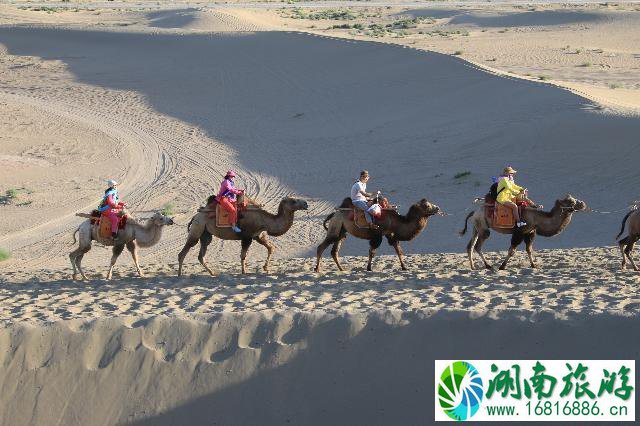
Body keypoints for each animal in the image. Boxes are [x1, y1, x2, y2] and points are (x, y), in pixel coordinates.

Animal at [179, 196, 308, 274]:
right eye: (293, 201)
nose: (306, 203)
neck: (264, 220)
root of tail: (195, 216)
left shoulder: (258, 236)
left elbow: (271, 248)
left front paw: (265, 268)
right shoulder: (247, 237)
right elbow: (243, 256)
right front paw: (244, 272)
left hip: (205, 234)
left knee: (201, 254)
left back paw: (212, 272)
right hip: (197, 229)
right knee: (184, 251)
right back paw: (180, 274)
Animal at [458, 193, 588, 270]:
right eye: (571, 202)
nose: (583, 204)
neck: (537, 218)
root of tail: (474, 212)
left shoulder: (530, 233)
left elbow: (529, 249)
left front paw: (533, 265)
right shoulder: (519, 233)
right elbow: (512, 251)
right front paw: (502, 266)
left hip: (476, 227)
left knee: (470, 246)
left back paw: (473, 267)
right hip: (483, 227)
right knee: (478, 246)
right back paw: (488, 265)